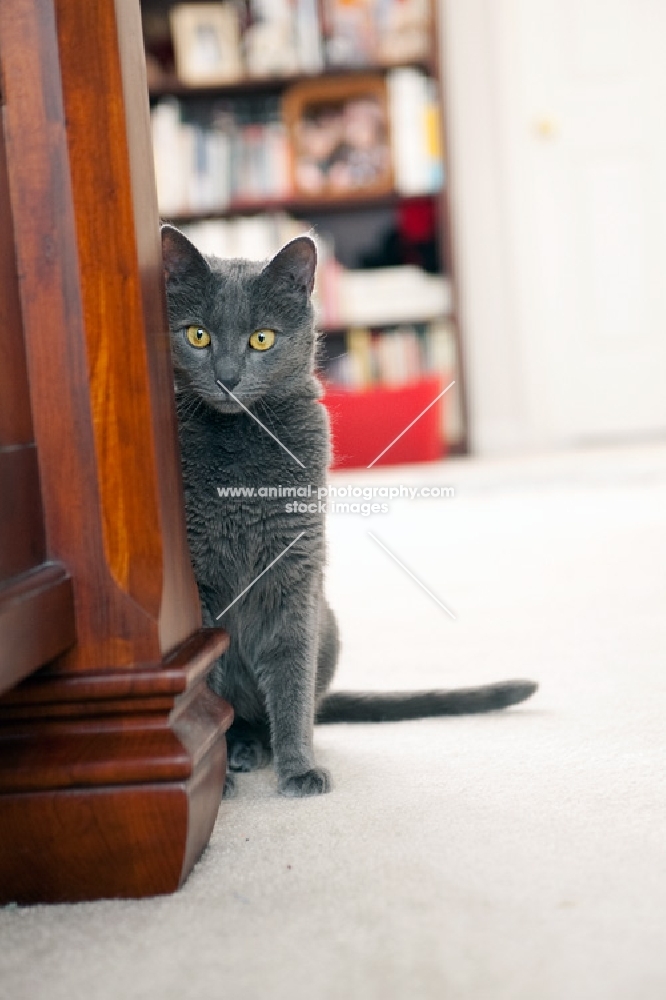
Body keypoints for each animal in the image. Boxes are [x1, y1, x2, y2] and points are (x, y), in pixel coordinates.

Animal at [163, 225, 536, 796]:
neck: (242, 441)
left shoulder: (296, 569)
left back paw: (256, 746)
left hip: (329, 623)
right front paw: (215, 776)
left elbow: (292, 676)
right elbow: (209, 678)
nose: (226, 376)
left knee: (288, 706)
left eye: (262, 339)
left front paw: (298, 767)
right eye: (198, 335)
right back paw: (238, 750)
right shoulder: (200, 580)